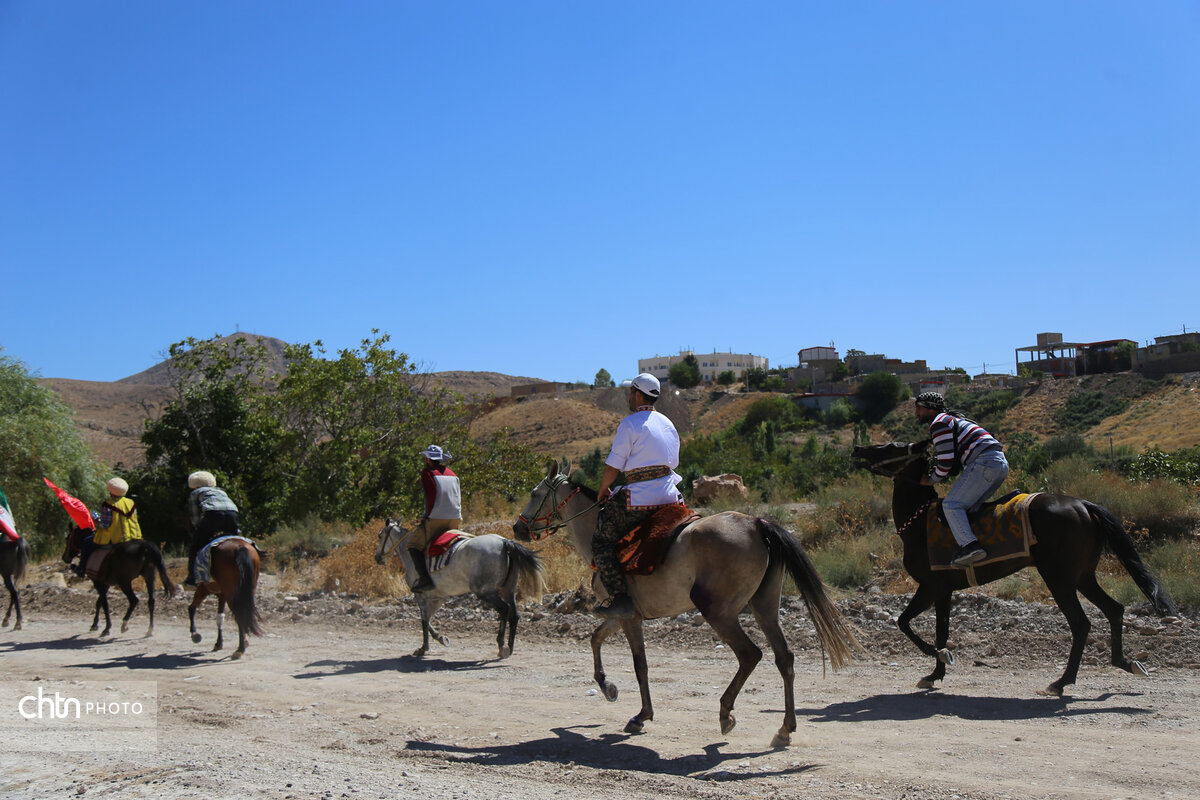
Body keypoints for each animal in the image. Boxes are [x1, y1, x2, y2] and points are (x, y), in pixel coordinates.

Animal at [187, 534, 262, 662]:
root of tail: (240, 547)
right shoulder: (221, 595)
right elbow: (220, 618)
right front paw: (219, 643)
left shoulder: (204, 588)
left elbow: (192, 608)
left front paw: (195, 635)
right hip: (247, 590)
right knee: (244, 614)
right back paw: (243, 644)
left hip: (230, 593)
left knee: (239, 616)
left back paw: (239, 650)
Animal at [372, 515, 547, 662]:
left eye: (380, 536)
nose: (377, 557)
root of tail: (504, 542)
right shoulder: (439, 596)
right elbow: (428, 618)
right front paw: (440, 638)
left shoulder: (422, 596)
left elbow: (423, 619)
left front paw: (424, 647)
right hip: (508, 590)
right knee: (514, 615)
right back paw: (509, 647)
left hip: (485, 592)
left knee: (504, 610)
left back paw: (501, 646)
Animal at [508, 460, 864, 748]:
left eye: (535, 493)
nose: (518, 527)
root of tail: (756, 524)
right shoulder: (623, 613)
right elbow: (595, 638)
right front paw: (608, 687)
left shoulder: (628, 616)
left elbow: (639, 664)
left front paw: (641, 715)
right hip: (764, 607)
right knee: (784, 658)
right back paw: (785, 729)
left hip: (719, 612)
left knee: (750, 655)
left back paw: (725, 714)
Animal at [849, 441, 1176, 695]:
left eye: (891, 446)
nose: (858, 449)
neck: (918, 522)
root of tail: (1085, 505)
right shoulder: (944, 590)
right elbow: (941, 629)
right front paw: (935, 673)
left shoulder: (930, 586)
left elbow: (904, 622)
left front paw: (938, 655)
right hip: (1083, 576)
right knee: (1114, 610)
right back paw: (1125, 663)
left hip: (1059, 578)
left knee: (1081, 623)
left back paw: (1061, 682)